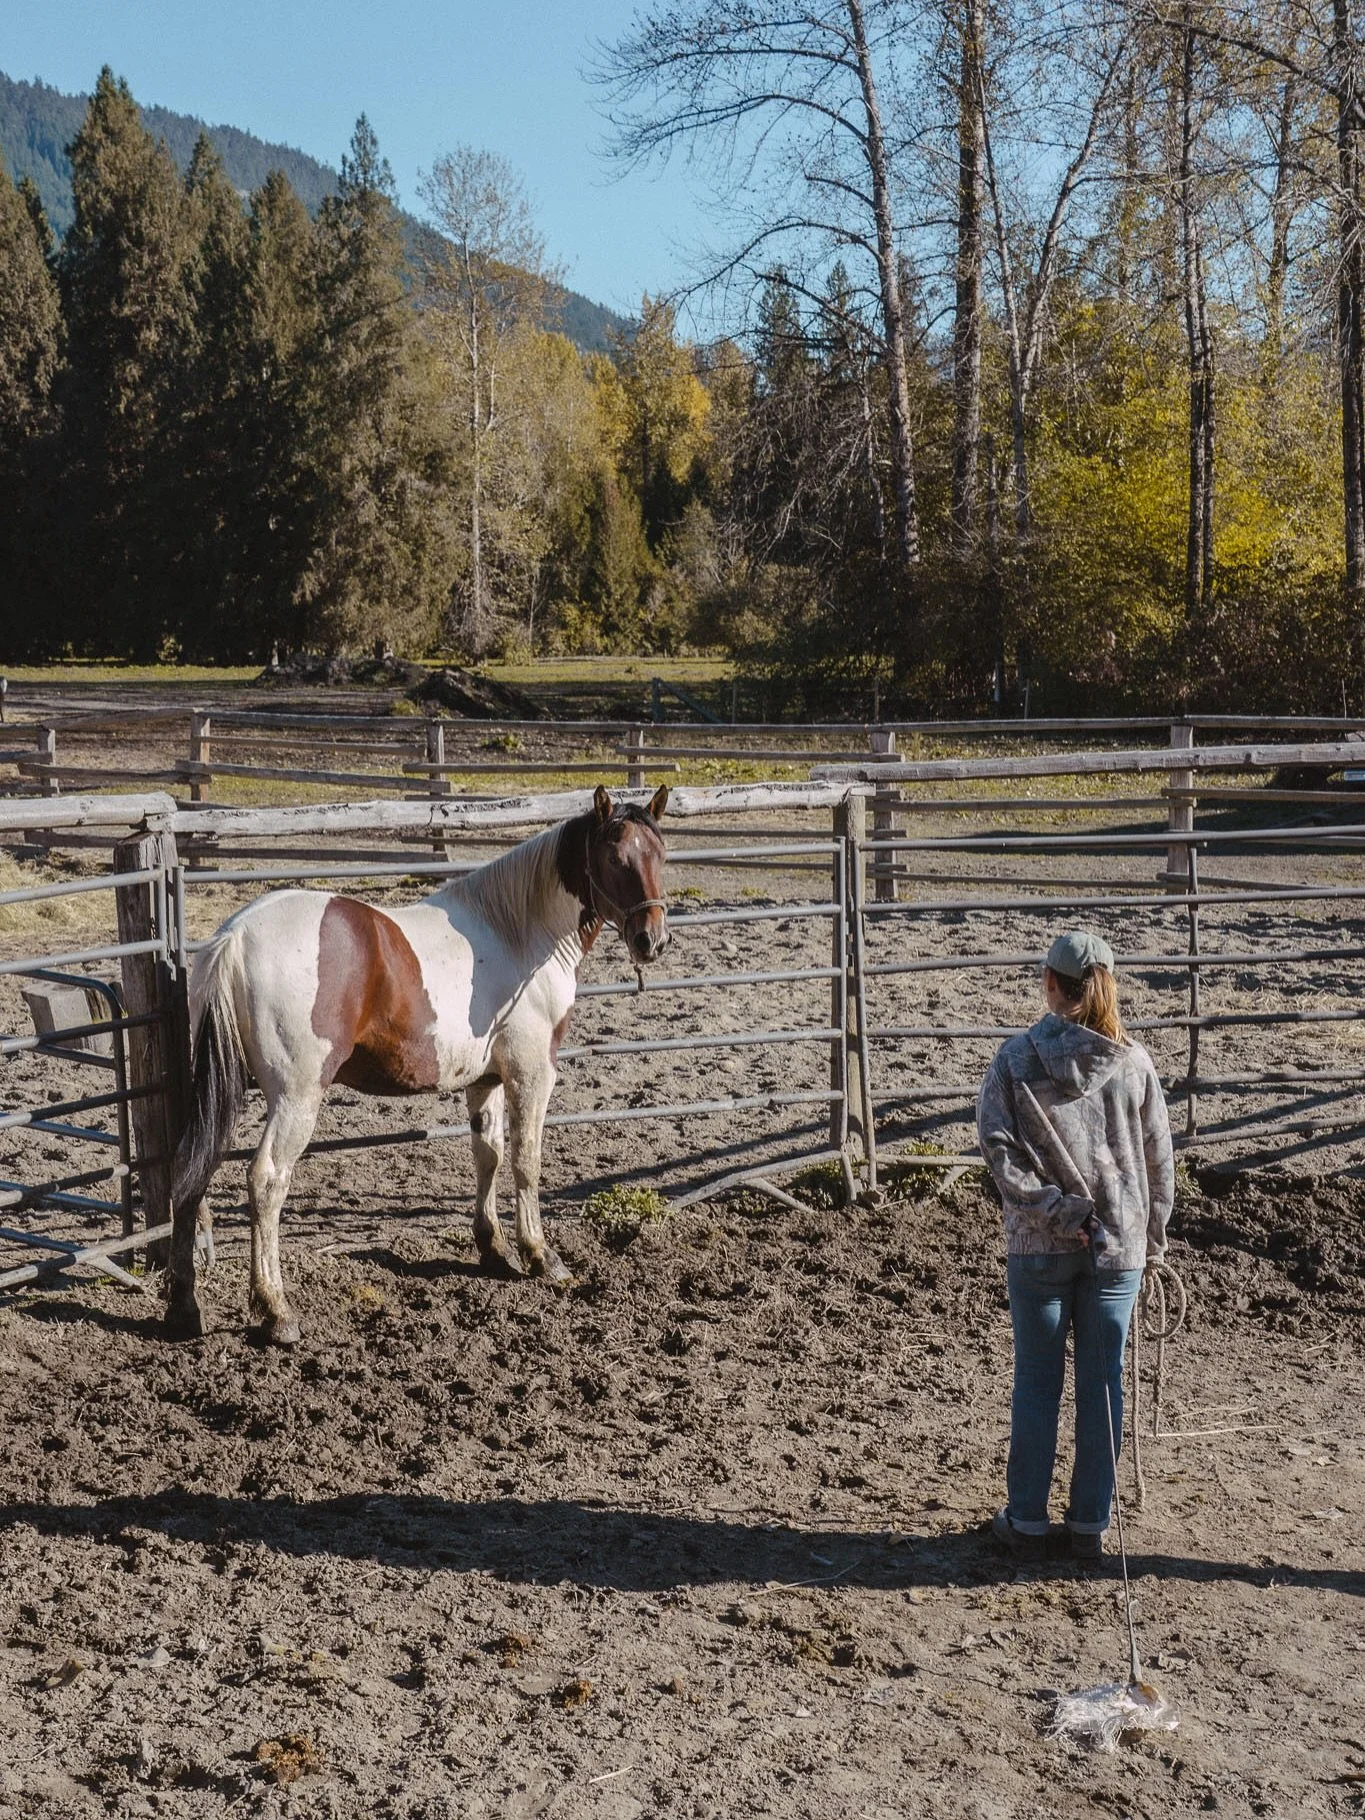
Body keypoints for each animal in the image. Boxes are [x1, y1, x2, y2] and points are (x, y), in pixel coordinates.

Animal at [165, 785, 670, 1345]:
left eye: (660, 853)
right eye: (614, 857)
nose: (652, 939)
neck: (516, 931)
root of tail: (235, 937)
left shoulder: (486, 1080)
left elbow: (489, 1156)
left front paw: (493, 1249)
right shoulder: (531, 1073)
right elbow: (527, 1161)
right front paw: (541, 1256)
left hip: (216, 1095)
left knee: (190, 1176)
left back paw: (184, 1308)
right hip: (296, 1098)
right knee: (267, 1182)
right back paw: (277, 1310)